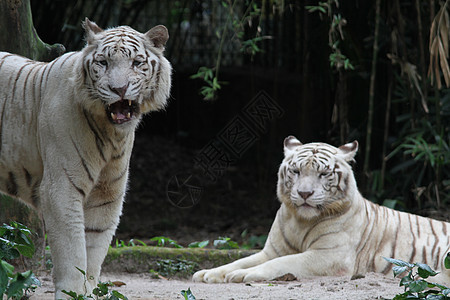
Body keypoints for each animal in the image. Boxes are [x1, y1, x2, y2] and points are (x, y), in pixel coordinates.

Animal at [0, 18, 172, 298]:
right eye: (103, 62)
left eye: (137, 63)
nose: (119, 89)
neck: (111, 135)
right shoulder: (61, 188)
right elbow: (73, 250)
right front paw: (71, 292)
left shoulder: (106, 194)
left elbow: (94, 250)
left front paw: (89, 290)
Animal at [193, 136, 450, 286]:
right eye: (296, 171)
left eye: (323, 173)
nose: (304, 193)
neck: (299, 220)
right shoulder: (271, 250)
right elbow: (239, 261)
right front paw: (208, 273)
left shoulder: (329, 256)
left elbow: (281, 263)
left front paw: (242, 276)